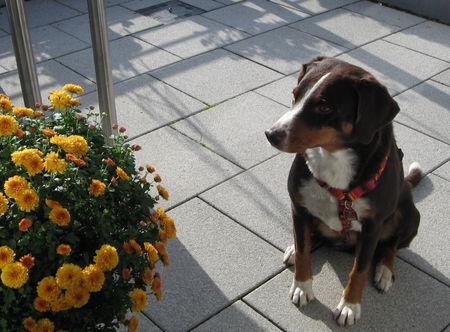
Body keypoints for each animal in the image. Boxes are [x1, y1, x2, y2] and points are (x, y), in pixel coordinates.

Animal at [266, 57, 420, 326]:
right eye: (295, 95)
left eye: (325, 107)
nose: (272, 134)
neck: (333, 159)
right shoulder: (298, 205)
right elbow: (304, 251)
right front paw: (302, 286)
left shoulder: (372, 226)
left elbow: (359, 270)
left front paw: (350, 305)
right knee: (307, 237)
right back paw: (295, 248)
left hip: (409, 213)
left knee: (392, 245)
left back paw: (384, 271)